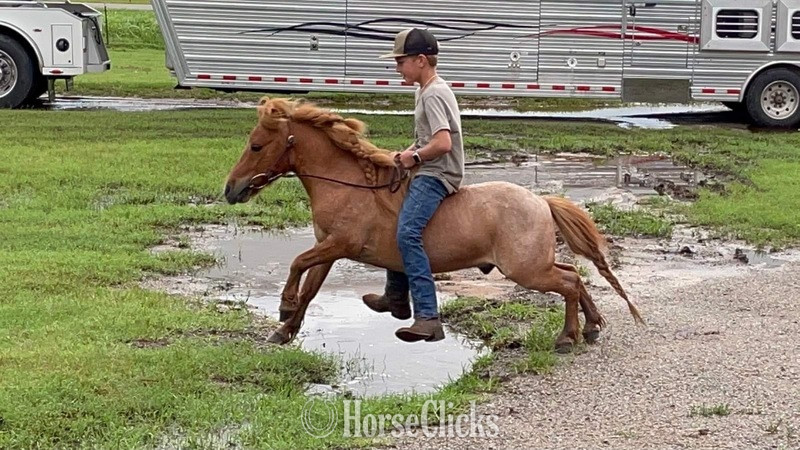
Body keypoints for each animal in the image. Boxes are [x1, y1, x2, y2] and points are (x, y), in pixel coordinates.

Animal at [224, 97, 644, 352]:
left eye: (256, 145)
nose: (231, 189)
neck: (350, 185)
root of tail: (541, 202)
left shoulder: (341, 244)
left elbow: (297, 263)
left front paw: (283, 307)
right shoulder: (328, 249)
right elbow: (310, 287)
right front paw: (284, 330)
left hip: (526, 270)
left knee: (569, 283)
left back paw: (567, 336)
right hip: (534, 264)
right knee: (574, 275)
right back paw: (590, 326)